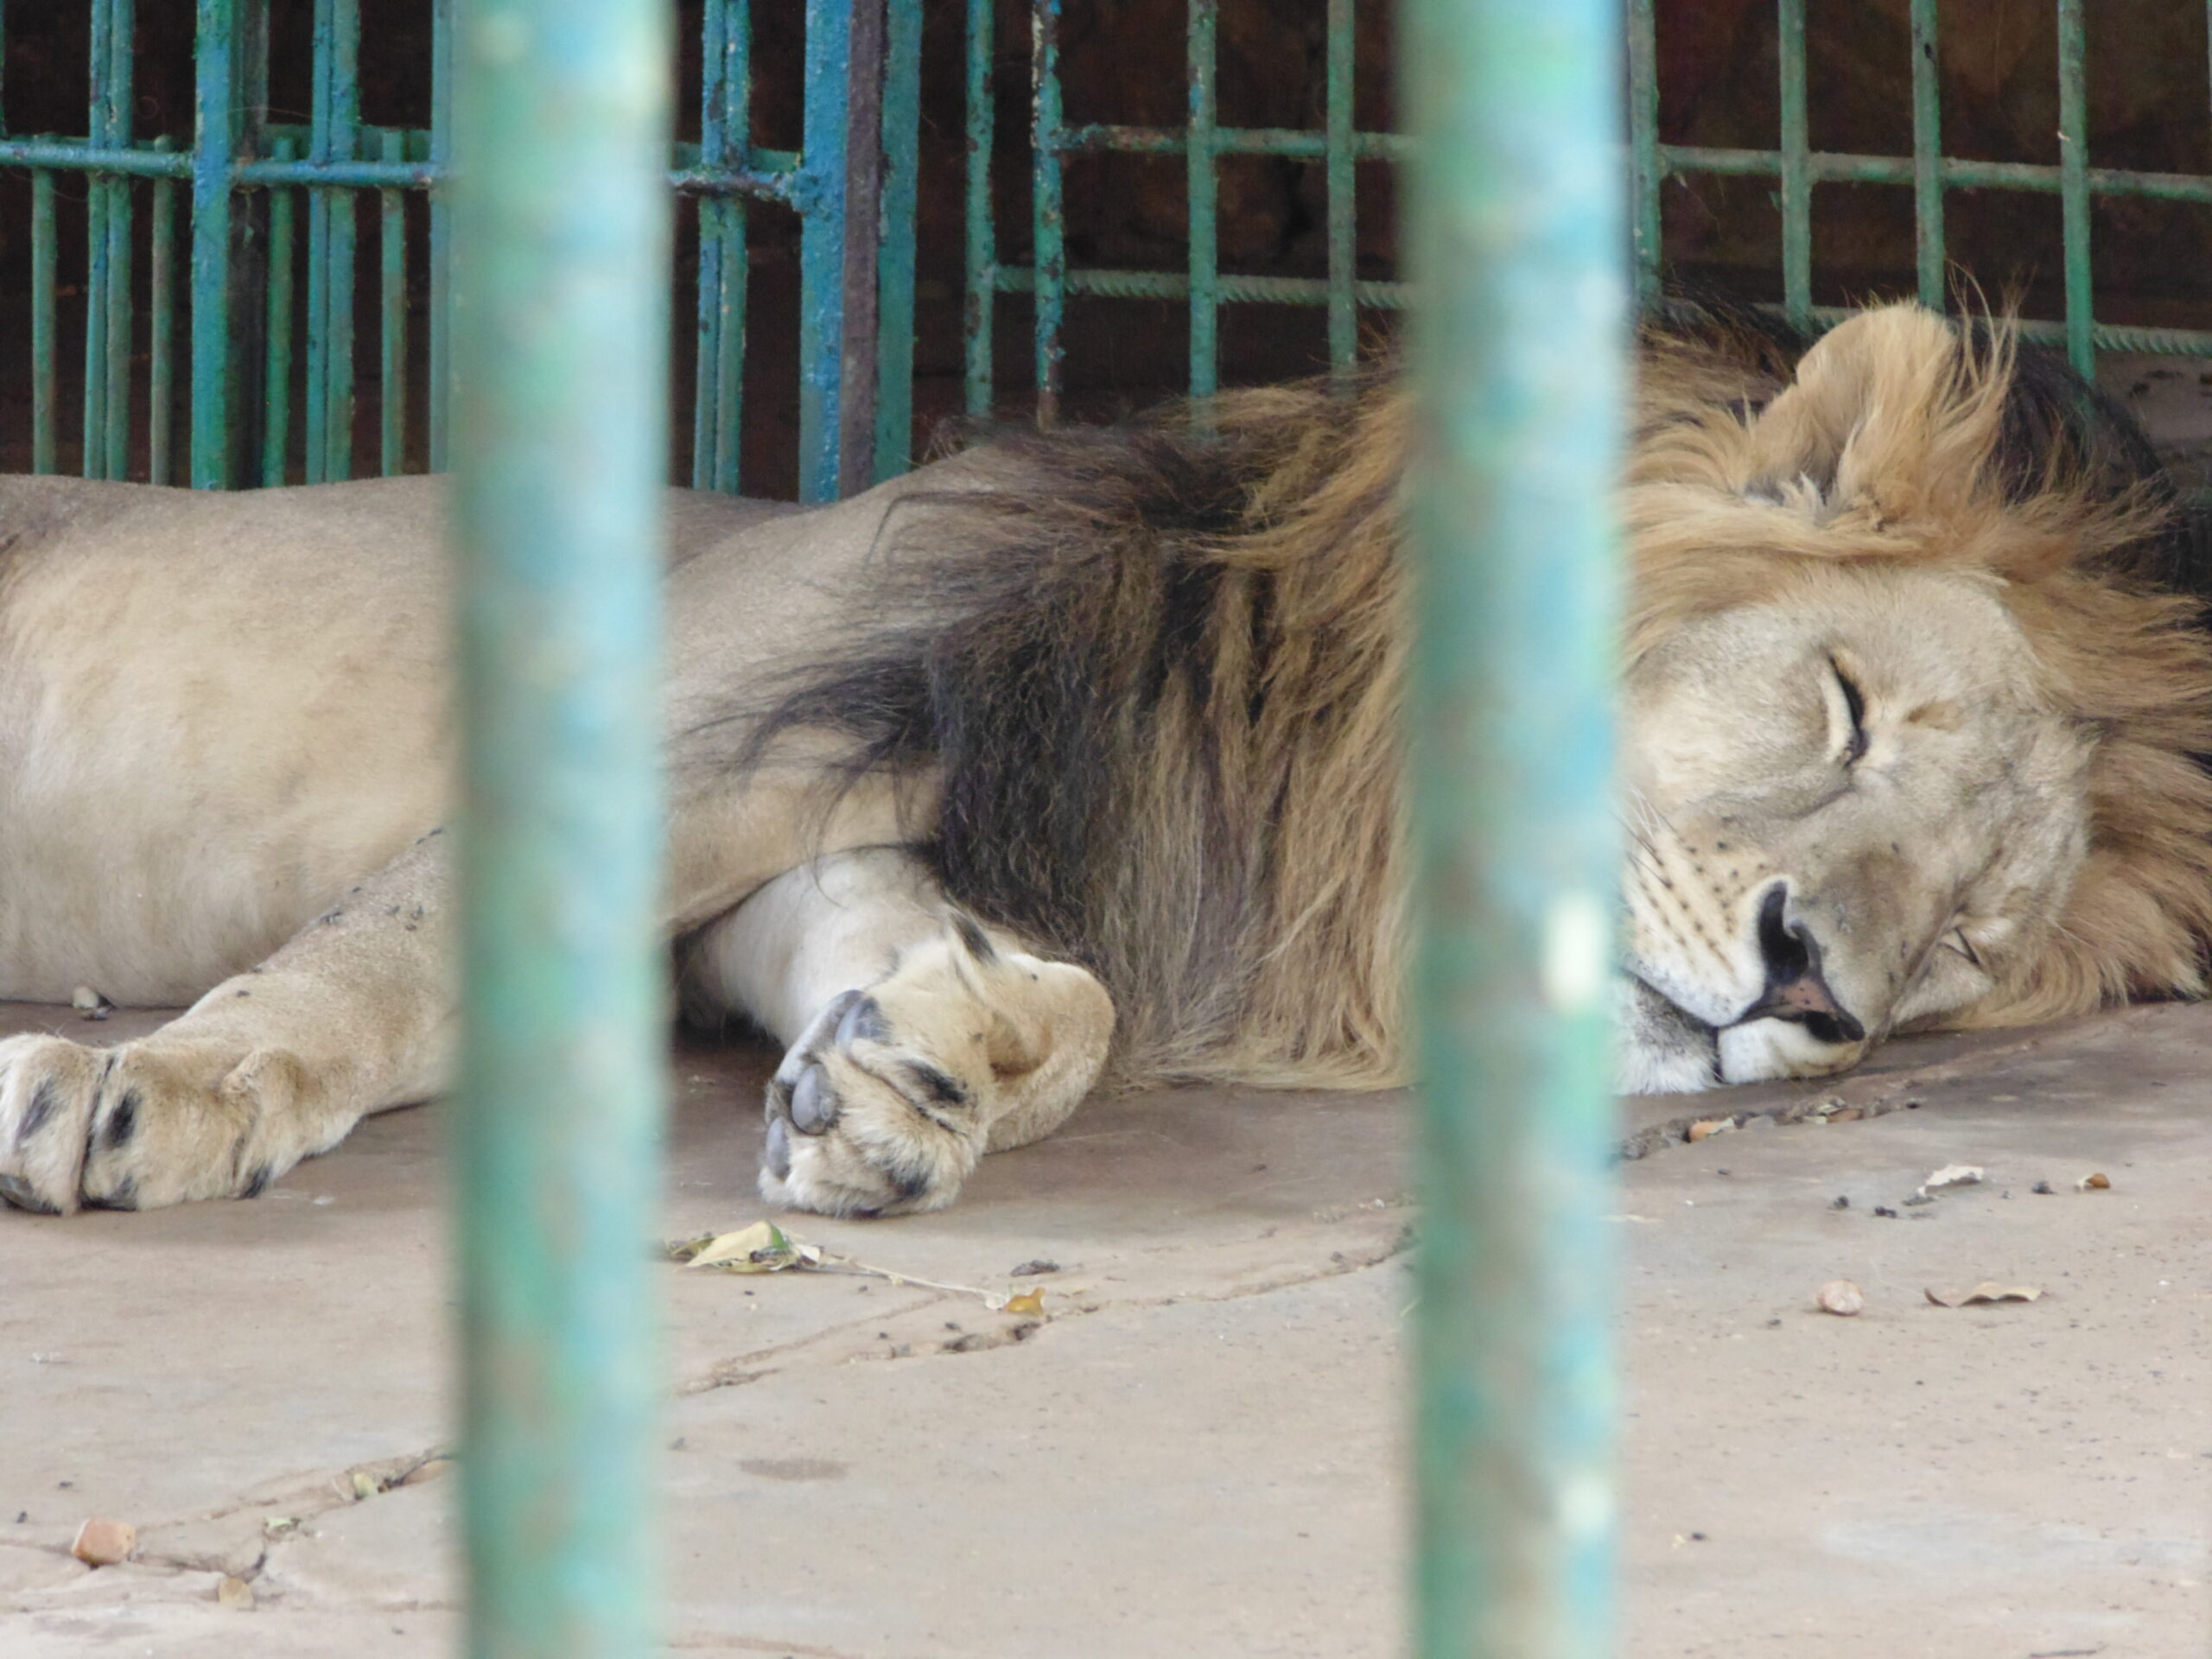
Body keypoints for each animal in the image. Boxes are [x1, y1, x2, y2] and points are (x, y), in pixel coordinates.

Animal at [0, 309, 2202, 1221]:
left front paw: (917, 1068)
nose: (1812, 988)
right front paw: (165, 1092)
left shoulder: (807, 841)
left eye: (1955, 943)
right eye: (1840, 705)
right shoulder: (704, 718)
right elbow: (392, 948)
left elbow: (1014, 979)